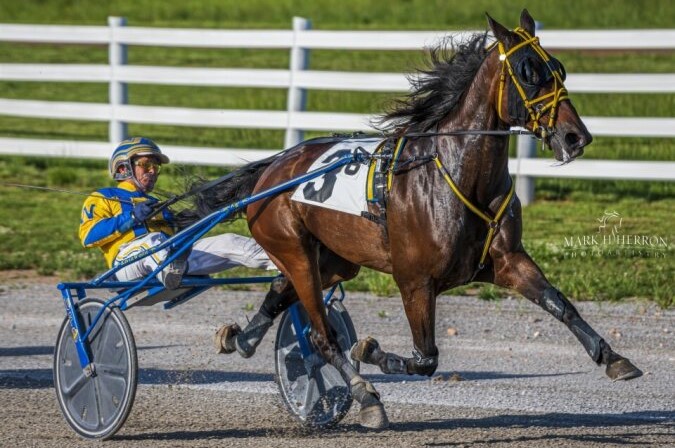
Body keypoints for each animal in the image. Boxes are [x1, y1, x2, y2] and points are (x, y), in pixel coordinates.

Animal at [178, 10, 643, 429]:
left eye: (558, 68)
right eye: (528, 73)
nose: (575, 136)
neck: (454, 172)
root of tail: (272, 170)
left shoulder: (508, 260)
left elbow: (560, 304)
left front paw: (614, 358)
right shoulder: (415, 280)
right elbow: (425, 359)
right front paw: (369, 353)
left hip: (333, 259)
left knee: (280, 290)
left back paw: (241, 338)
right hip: (293, 248)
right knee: (321, 335)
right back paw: (365, 396)